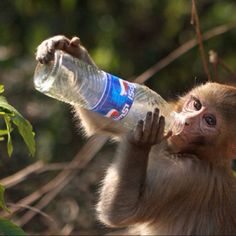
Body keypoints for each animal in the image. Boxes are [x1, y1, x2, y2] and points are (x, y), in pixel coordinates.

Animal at [35, 35, 236, 236]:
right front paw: (68, 49)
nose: (186, 121)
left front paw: (140, 142)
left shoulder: (188, 176)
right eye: (196, 105)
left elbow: (121, 212)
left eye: (209, 120)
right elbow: (101, 120)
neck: (177, 152)